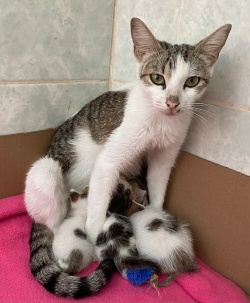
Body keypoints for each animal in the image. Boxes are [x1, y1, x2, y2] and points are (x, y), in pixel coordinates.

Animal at [24, 17, 231, 243]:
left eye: (192, 81)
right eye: (157, 78)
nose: (172, 102)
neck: (160, 122)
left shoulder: (164, 156)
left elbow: (158, 184)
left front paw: (156, 215)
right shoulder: (107, 163)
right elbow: (97, 208)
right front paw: (95, 241)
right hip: (47, 172)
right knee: (52, 212)